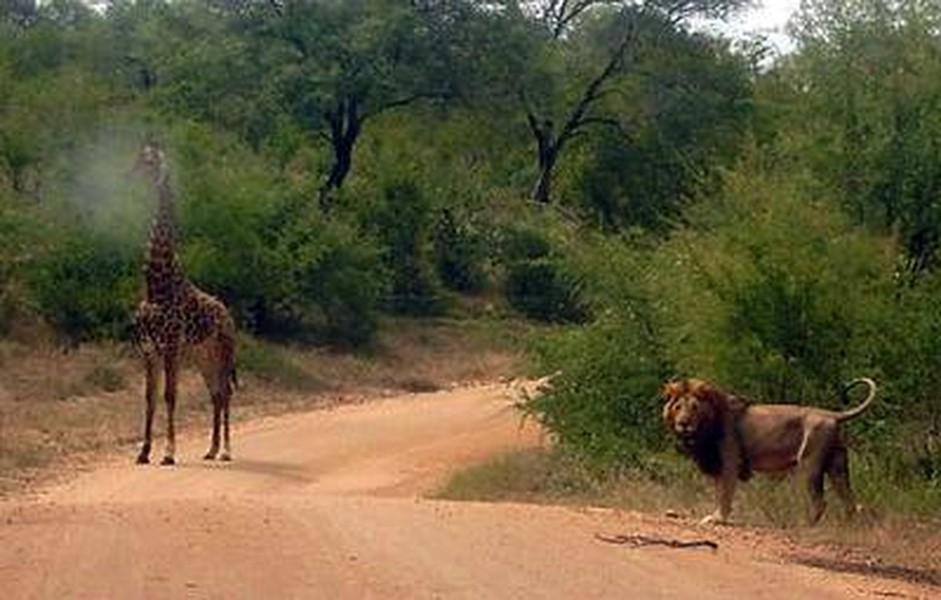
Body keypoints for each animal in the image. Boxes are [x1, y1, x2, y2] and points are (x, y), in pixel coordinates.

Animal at [130, 138, 237, 466]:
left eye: (149, 161)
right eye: (137, 158)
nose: (129, 175)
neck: (156, 284)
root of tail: (229, 315)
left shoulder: (171, 345)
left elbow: (169, 395)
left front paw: (168, 452)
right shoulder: (148, 347)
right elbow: (149, 397)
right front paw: (143, 452)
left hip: (224, 350)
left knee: (226, 392)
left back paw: (226, 451)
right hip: (203, 355)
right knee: (215, 393)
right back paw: (211, 449)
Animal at [660, 380, 872, 524]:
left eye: (694, 408)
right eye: (678, 407)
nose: (683, 423)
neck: (705, 427)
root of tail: (833, 415)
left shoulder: (729, 462)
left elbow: (724, 493)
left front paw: (718, 518)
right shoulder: (717, 464)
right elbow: (719, 492)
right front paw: (716, 516)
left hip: (810, 464)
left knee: (820, 503)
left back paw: (802, 525)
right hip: (837, 465)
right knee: (852, 502)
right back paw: (848, 528)